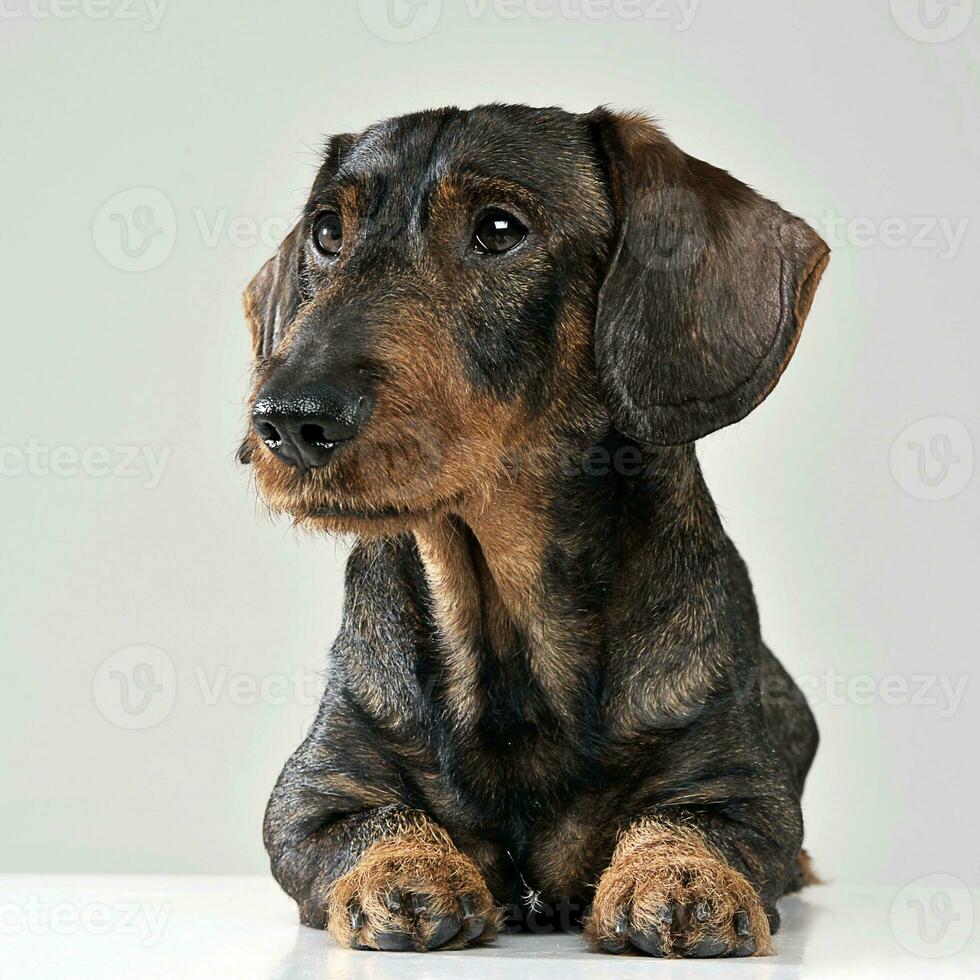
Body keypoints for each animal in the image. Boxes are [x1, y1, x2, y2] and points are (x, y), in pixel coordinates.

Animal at [237, 105, 828, 956]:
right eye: (326, 232)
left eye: (498, 228)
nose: (286, 421)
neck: (503, 623)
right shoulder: (310, 797)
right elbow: (373, 819)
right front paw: (406, 868)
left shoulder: (743, 795)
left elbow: (691, 822)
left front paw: (681, 878)